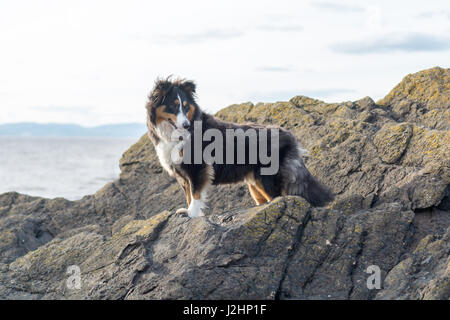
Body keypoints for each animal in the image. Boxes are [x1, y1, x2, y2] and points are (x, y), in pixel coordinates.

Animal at [146, 78, 332, 218]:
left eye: (185, 106)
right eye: (173, 105)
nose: (185, 125)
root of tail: (290, 136)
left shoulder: (197, 169)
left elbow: (195, 194)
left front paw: (191, 213)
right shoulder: (183, 175)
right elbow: (188, 195)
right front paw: (191, 212)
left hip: (268, 179)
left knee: (280, 198)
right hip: (255, 184)